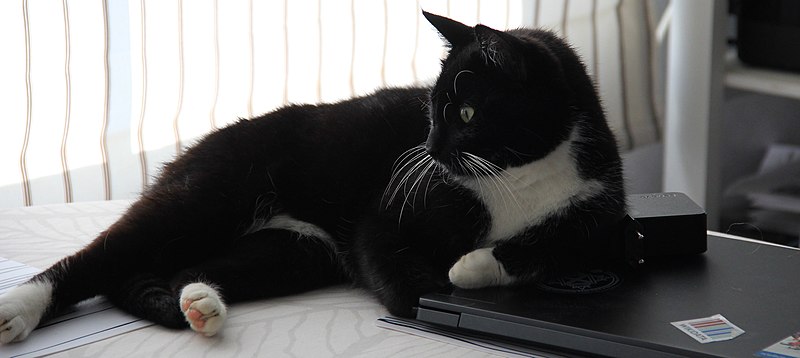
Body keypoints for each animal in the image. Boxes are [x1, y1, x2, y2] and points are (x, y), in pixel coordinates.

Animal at [0, 10, 624, 342]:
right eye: (432, 110)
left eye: (466, 114)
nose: (427, 148)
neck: (516, 178)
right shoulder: (387, 213)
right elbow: (400, 273)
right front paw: (442, 293)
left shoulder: (604, 213)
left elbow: (565, 243)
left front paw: (474, 266)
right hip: (213, 192)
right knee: (101, 256)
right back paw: (19, 310)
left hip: (294, 250)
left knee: (181, 268)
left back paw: (201, 303)